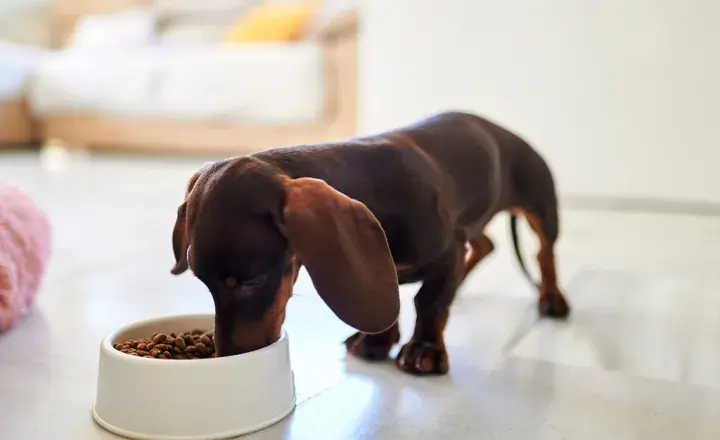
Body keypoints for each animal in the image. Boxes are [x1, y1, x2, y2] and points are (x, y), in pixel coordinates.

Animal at [169, 110, 568, 374]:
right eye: (204, 283)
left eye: (252, 281)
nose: (226, 357)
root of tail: (504, 130)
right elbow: (390, 301)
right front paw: (376, 340)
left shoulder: (447, 250)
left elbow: (430, 302)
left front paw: (424, 349)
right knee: (486, 244)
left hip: (540, 206)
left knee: (544, 252)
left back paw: (552, 298)